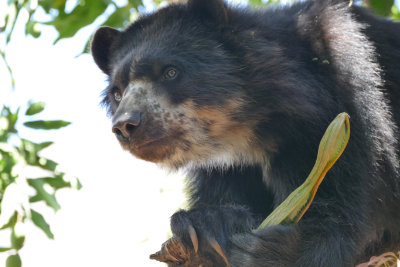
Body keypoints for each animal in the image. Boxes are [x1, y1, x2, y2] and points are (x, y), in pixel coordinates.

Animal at [90, 0, 400, 266]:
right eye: (117, 93)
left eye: (170, 72)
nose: (126, 125)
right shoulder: (227, 168)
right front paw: (208, 227)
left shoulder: (343, 108)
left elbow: (350, 198)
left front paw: (272, 251)